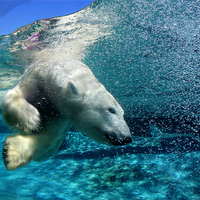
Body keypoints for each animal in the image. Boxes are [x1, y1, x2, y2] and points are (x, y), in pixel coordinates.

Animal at [1, 57, 133, 170]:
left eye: (123, 113)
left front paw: (10, 152)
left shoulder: (60, 115)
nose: (127, 138)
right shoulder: (36, 78)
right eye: (111, 110)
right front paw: (31, 119)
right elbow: (13, 94)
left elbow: (48, 137)